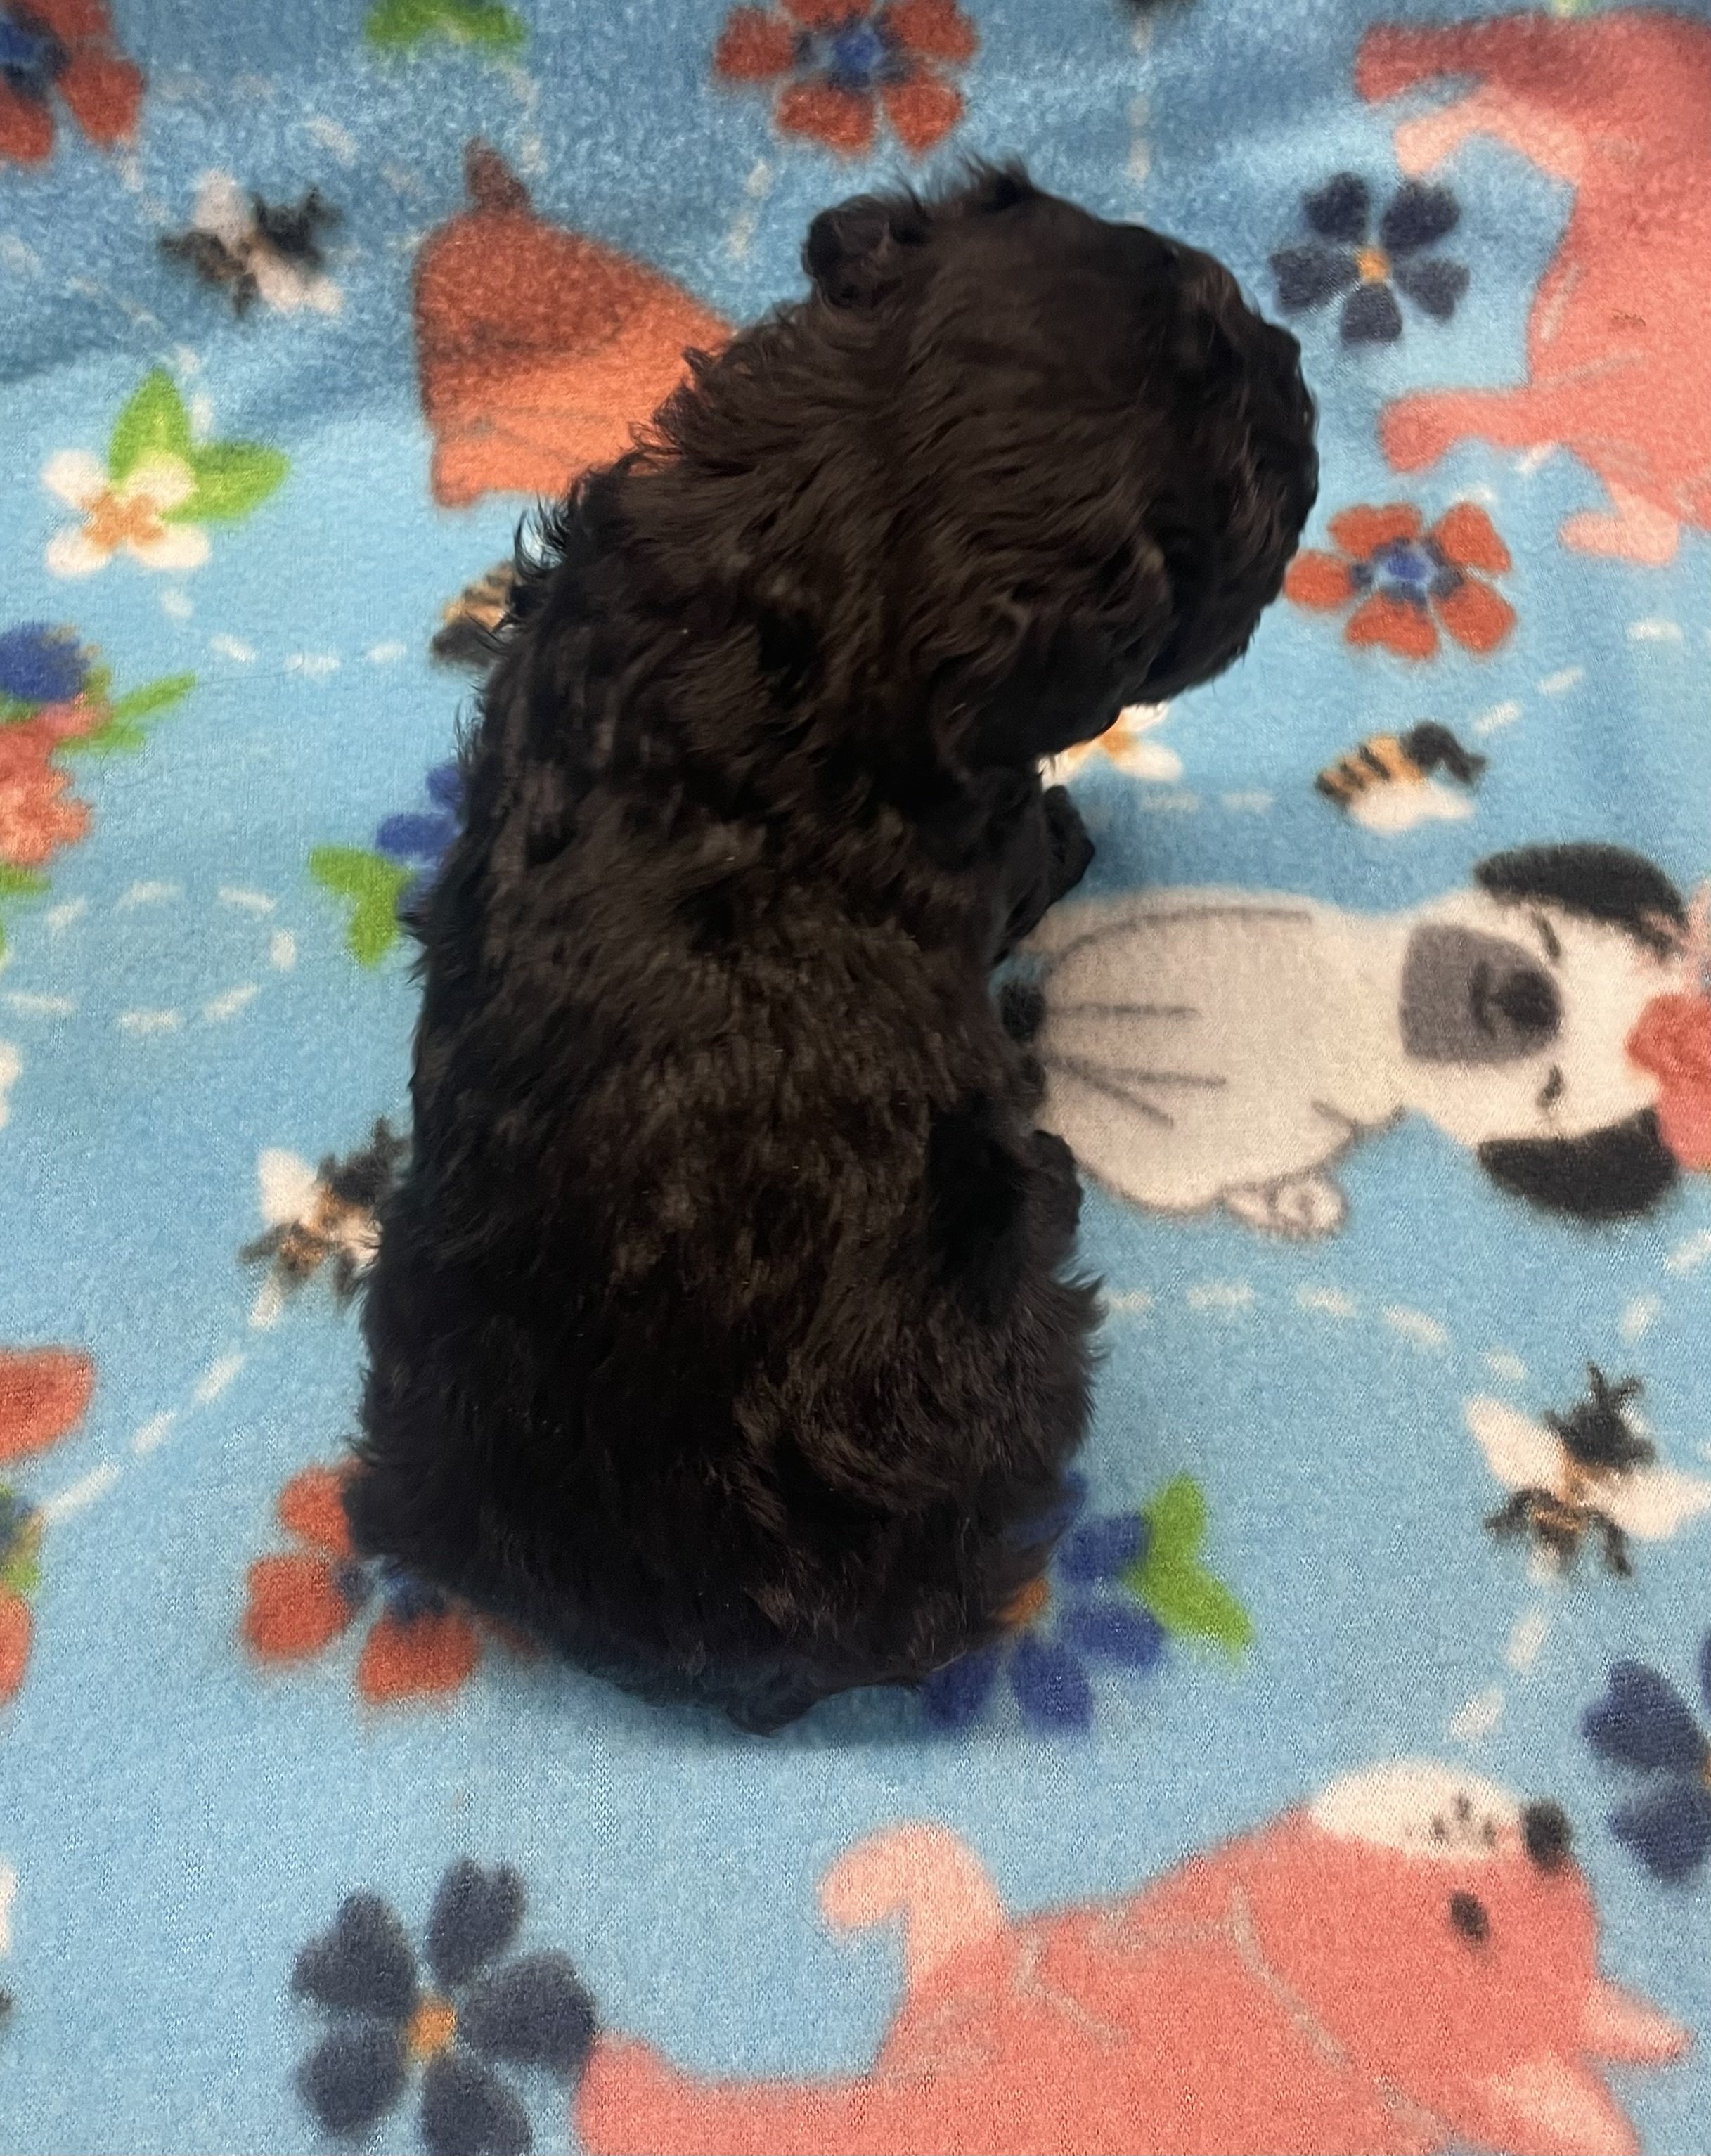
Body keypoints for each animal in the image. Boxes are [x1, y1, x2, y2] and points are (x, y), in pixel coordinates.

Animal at [344, 164, 1317, 1728]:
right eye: (1232, 490)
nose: (1298, 375)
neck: (840, 522)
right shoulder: (980, 833)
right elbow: (1031, 841)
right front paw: (1077, 828)